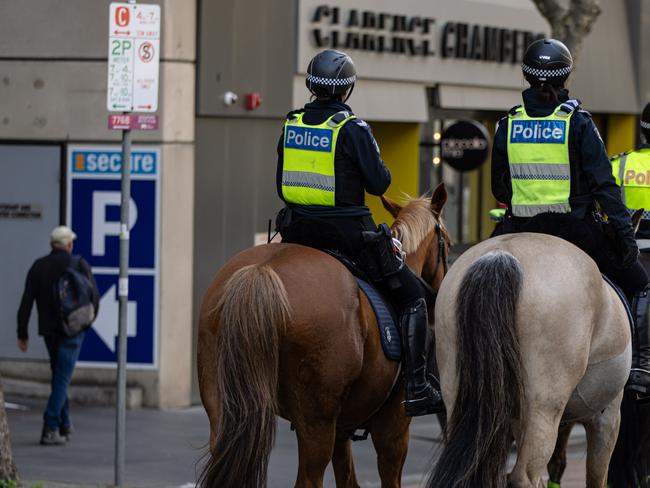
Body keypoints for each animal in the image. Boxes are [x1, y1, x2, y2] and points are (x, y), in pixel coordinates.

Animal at [196, 184, 450, 488]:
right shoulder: (394, 429)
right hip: (317, 422)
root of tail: (260, 271)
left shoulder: (343, 429)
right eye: (448, 243)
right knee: (308, 479)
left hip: (223, 410)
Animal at [428, 233, 632, 488]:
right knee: (523, 476)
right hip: (543, 410)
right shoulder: (608, 415)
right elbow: (596, 476)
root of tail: (500, 255)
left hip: (459, 399)